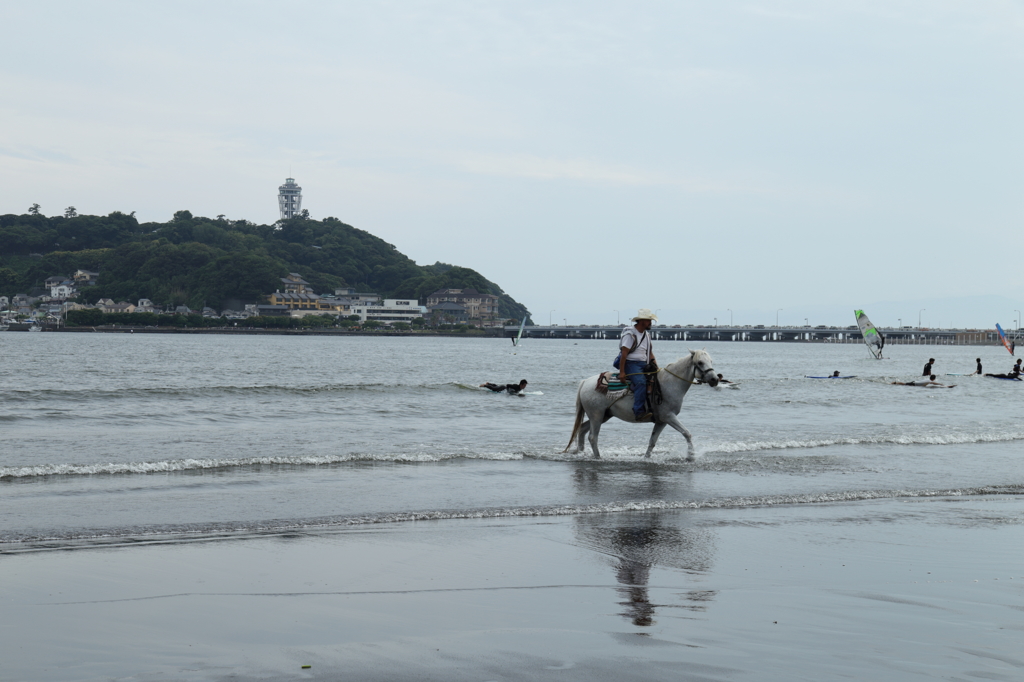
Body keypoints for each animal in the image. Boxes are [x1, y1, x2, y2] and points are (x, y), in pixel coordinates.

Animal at [569, 348, 720, 458]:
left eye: (711, 361)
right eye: (700, 362)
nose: (715, 379)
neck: (670, 383)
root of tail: (585, 382)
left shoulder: (661, 421)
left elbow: (652, 441)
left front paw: (646, 458)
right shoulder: (669, 416)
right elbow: (687, 433)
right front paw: (691, 456)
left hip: (603, 415)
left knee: (582, 430)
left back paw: (581, 453)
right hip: (597, 415)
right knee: (593, 437)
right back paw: (598, 457)